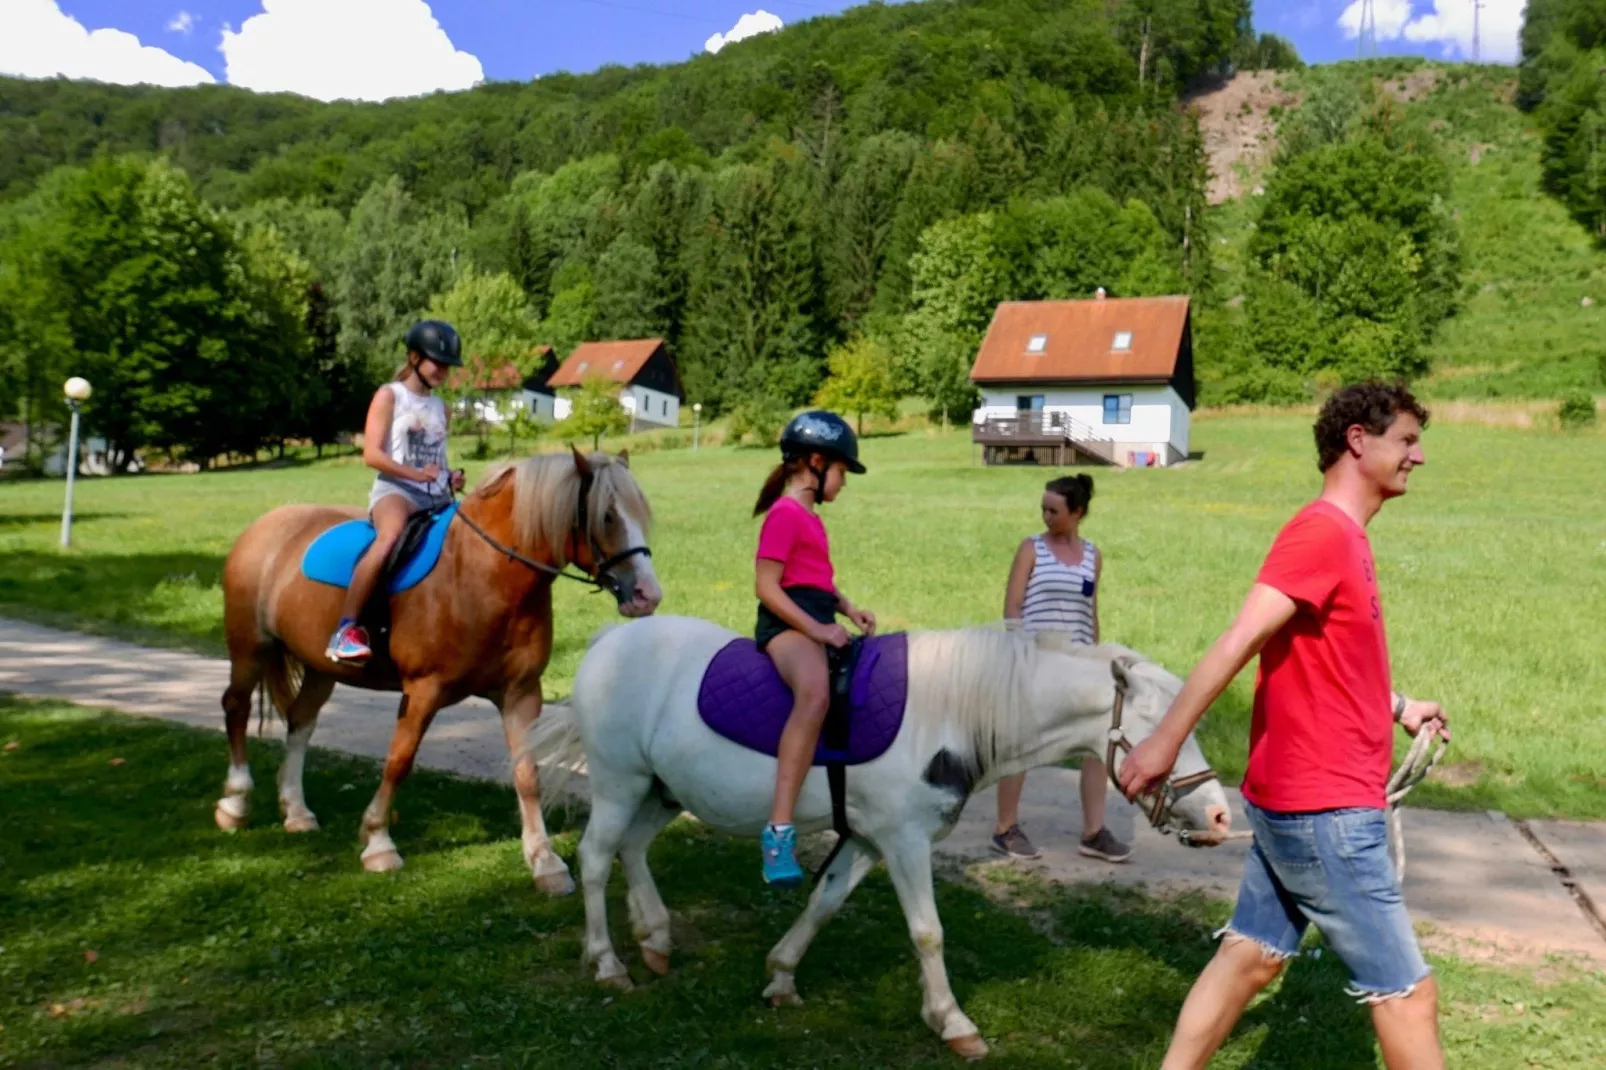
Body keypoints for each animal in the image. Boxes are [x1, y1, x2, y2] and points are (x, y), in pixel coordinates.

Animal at [215, 443, 658, 893]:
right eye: (607, 516)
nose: (647, 594)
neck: (482, 574)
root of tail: (265, 526)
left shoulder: (521, 693)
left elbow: (528, 773)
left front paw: (545, 862)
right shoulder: (422, 691)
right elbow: (399, 761)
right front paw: (378, 842)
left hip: (321, 667)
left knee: (300, 721)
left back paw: (296, 811)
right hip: (250, 648)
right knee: (236, 707)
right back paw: (235, 802)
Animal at [526, 616, 1226, 1060]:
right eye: (1167, 726)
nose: (1221, 817)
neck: (948, 714)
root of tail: (611, 638)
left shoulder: (865, 840)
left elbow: (824, 903)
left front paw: (781, 976)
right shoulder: (904, 840)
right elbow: (927, 932)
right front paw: (952, 1021)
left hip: (662, 790)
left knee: (632, 848)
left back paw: (655, 937)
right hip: (619, 781)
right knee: (594, 858)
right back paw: (608, 962)